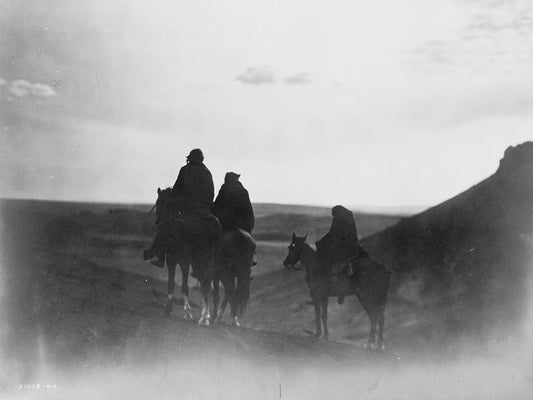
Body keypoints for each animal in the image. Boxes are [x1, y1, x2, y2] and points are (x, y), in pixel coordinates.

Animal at [152, 188, 220, 324]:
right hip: (211, 262)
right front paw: (188, 312)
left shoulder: (174, 260)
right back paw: (207, 317)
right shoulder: (185, 262)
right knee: (208, 285)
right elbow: (184, 286)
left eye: (159, 203)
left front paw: (170, 309)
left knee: (205, 284)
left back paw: (204, 317)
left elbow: (173, 284)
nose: (158, 222)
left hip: (200, 261)